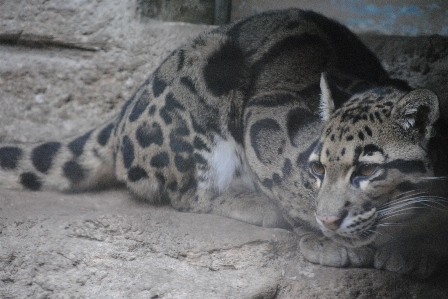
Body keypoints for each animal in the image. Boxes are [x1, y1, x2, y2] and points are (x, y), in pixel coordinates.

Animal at [0, 9, 448, 278]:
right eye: (318, 168)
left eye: (368, 170)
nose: (330, 221)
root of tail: (123, 112)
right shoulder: (268, 117)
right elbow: (288, 184)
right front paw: (323, 237)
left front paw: (417, 250)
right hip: (201, 88)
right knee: (188, 195)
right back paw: (251, 203)